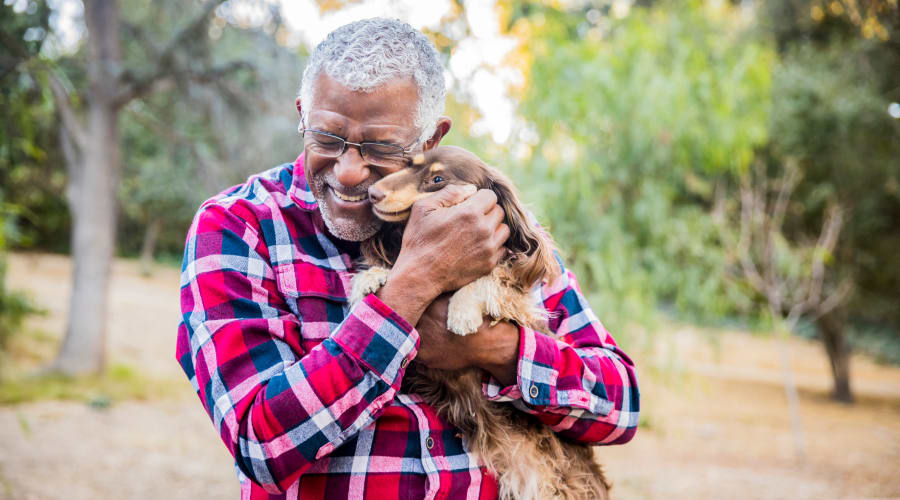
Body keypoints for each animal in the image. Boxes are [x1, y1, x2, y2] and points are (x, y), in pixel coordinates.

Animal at [348, 146, 608, 500]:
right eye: (409, 165)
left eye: (437, 179)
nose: (373, 193)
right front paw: (371, 278)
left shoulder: (516, 299)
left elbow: (488, 279)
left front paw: (462, 310)